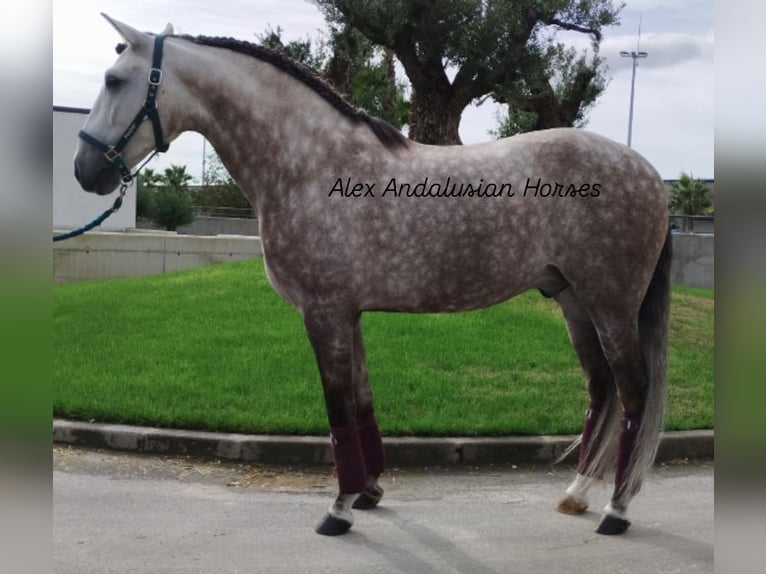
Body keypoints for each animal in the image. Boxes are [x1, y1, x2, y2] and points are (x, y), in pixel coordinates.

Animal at [73, 14, 672, 540]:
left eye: (113, 80)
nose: (85, 170)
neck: (310, 165)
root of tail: (646, 170)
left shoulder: (324, 314)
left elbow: (337, 409)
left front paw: (338, 510)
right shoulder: (350, 314)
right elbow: (361, 403)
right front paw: (369, 491)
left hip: (611, 305)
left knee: (635, 392)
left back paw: (616, 510)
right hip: (572, 300)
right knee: (601, 388)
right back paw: (578, 493)